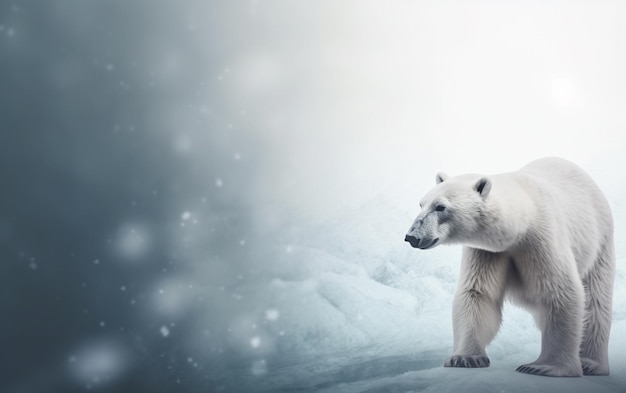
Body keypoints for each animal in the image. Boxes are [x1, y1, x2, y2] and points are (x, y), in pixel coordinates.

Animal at [404, 157, 616, 376]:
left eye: (440, 207)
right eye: (421, 204)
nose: (412, 237)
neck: (523, 219)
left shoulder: (543, 238)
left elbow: (561, 291)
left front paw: (544, 366)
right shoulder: (488, 251)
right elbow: (478, 293)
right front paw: (465, 358)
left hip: (599, 242)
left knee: (595, 301)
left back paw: (591, 363)